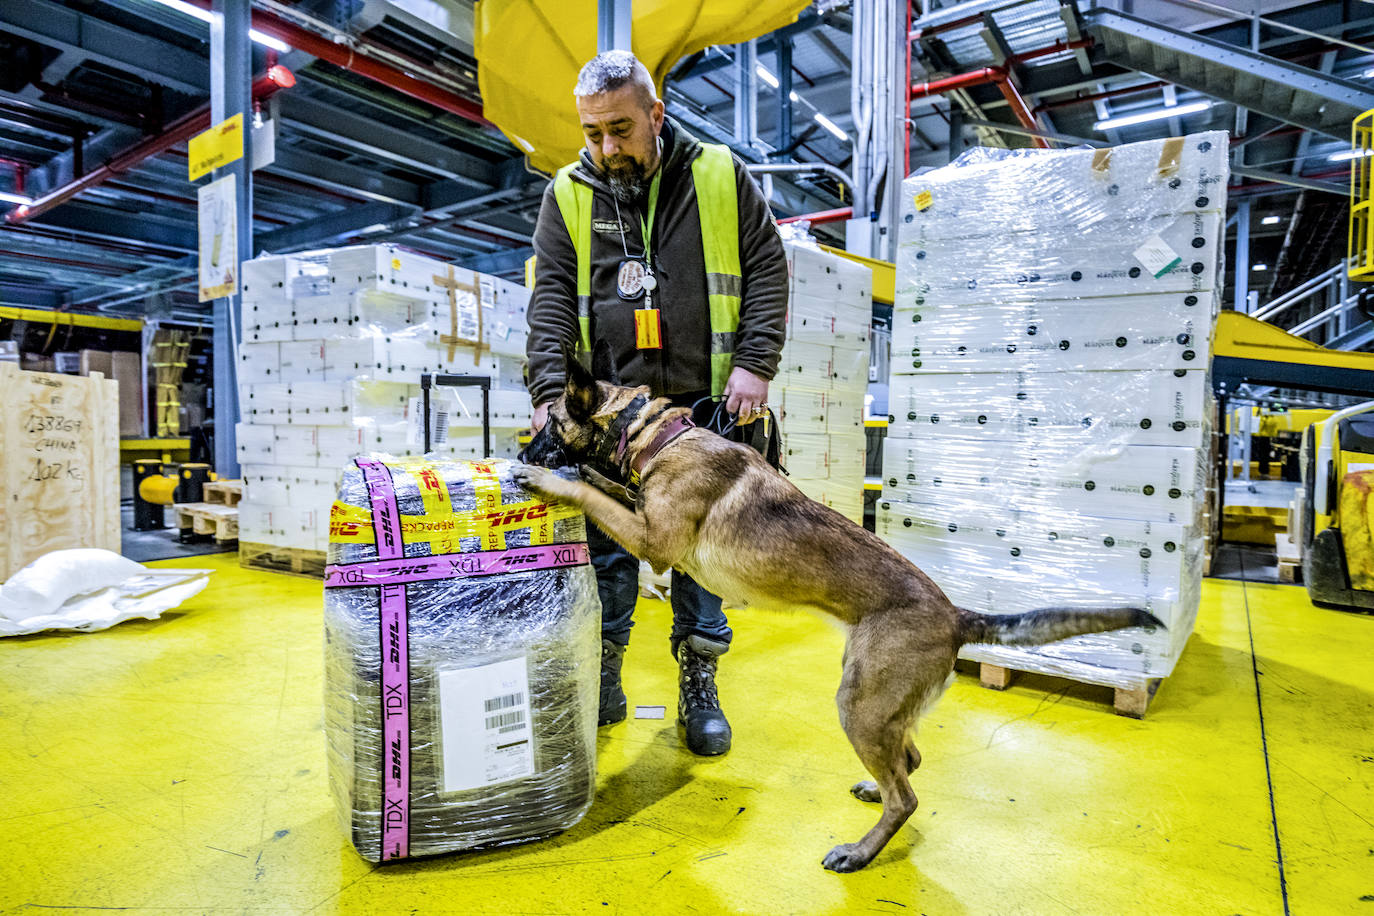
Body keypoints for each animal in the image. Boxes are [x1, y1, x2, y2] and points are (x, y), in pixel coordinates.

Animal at [516, 346, 1159, 873]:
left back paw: (861, 851)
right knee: (908, 759)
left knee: (908, 796)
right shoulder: (642, 519)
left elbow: (593, 487)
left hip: (860, 706)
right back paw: (875, 793)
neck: (660, 437)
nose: (521, 447)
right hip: (878, 704)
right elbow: (609, 485)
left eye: (546, 424)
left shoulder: (653, 542)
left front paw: (550, 476)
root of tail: (958, 618)